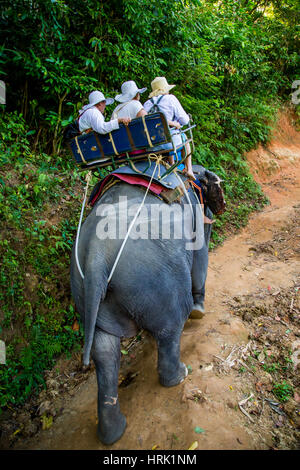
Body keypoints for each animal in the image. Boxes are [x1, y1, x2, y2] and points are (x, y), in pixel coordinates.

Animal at [70, 163, 225, 446]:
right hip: (158, 276)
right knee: (170, 326)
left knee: (104, 351)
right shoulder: (196, 214)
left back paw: (113, 432)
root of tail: (97, 255)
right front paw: (199, 312)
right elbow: (201, 254)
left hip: (85, 291)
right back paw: (180, 375)